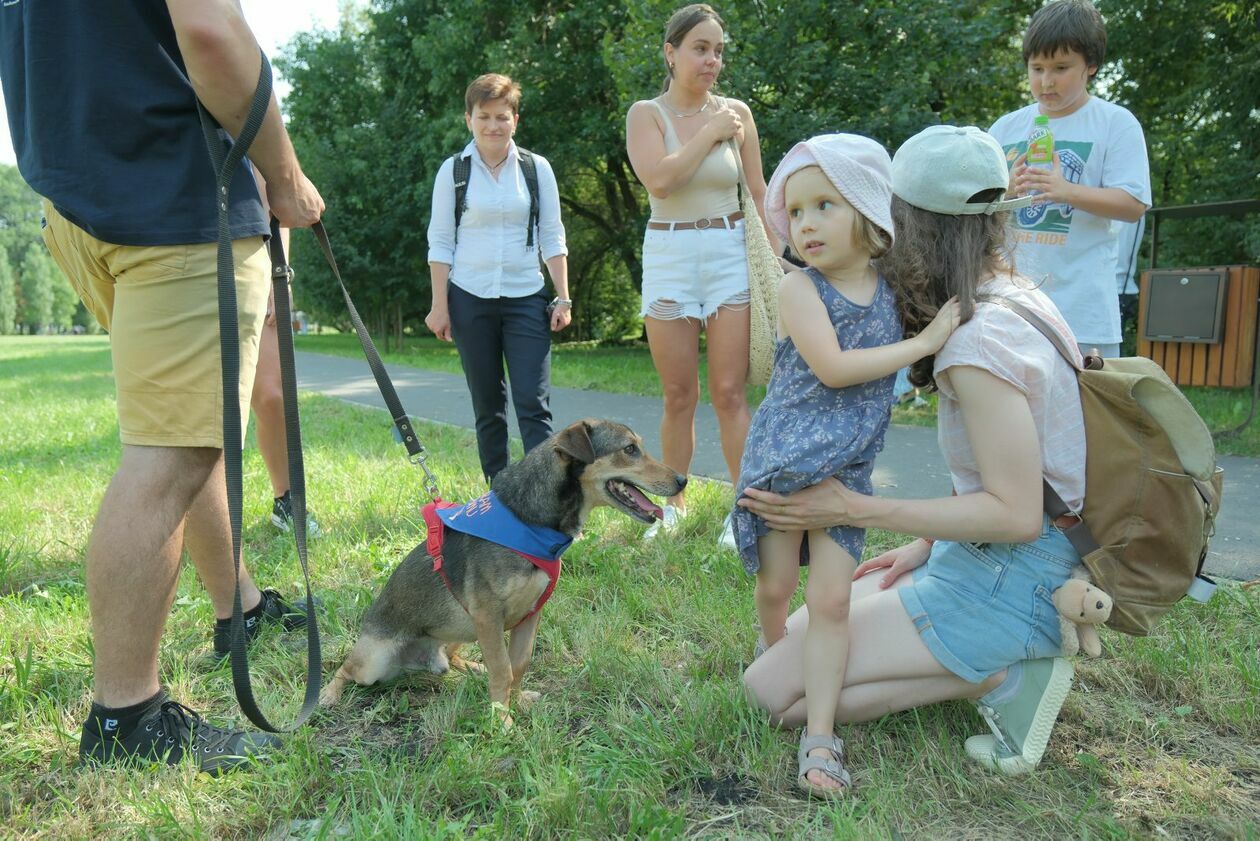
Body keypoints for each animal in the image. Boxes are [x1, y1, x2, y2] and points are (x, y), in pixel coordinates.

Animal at [320, 418, 685, 726]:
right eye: (630, 449)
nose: (682, 480)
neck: (531, 523)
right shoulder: (488, 614)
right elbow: (502, 669)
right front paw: (502, 720)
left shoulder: (528, 615)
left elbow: (517, 665)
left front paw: (516, 702)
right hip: (376, 661)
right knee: (345, 668)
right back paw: (327, 694)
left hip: (464, 628)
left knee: (450, 656)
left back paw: (472, 667)